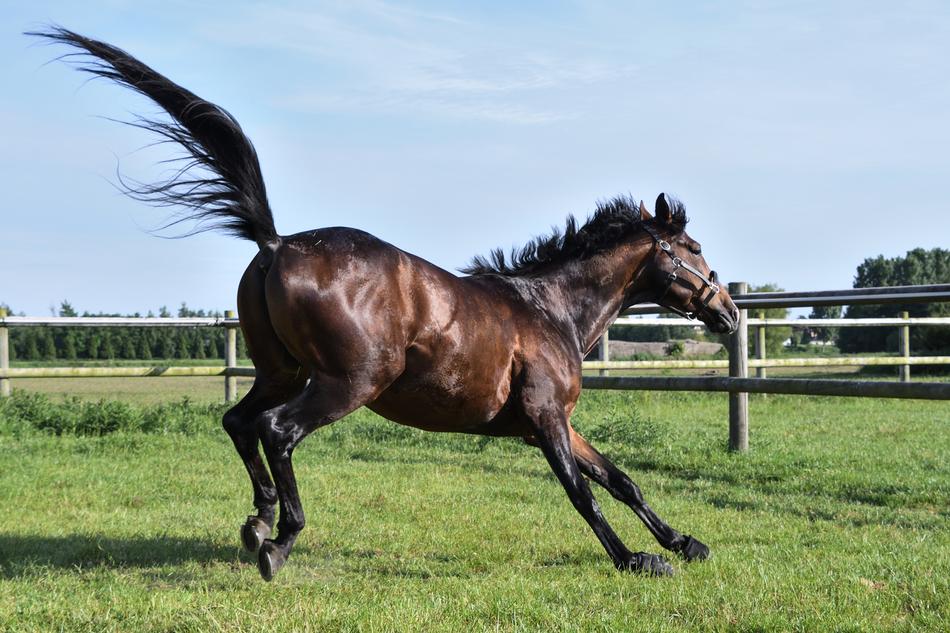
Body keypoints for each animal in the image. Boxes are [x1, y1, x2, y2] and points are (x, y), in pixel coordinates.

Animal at [34, 28, 739, 581]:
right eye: (695, 248)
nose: (729, 313)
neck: (550, 309)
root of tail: (277, 243)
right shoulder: (543, 421)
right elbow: (583, 494)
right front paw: (636, 560)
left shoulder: (558, 423)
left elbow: (621, 480)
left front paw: (686, 542)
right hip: (348, 382)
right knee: (277, 430)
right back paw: (280, 540)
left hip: (281, 371)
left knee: (240, 422)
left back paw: (258, 520)